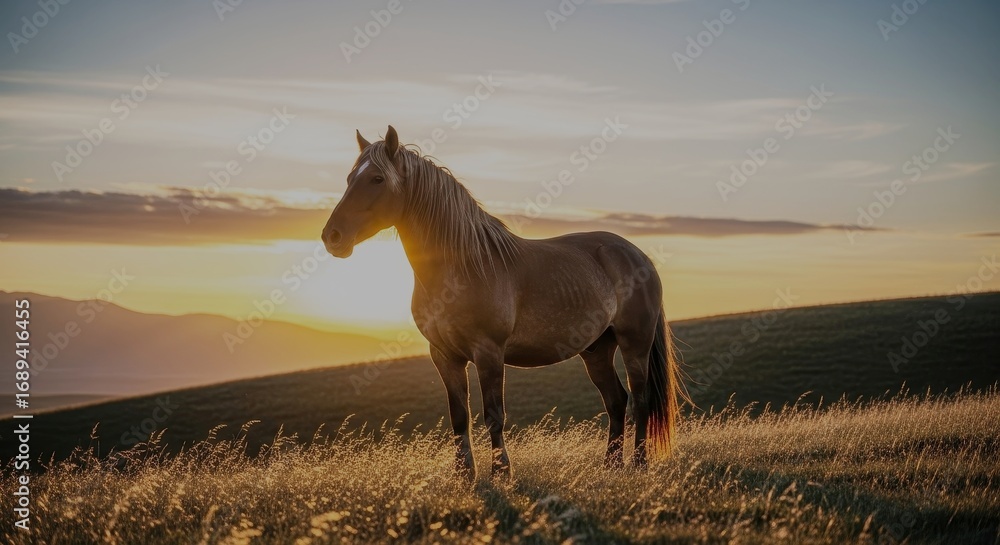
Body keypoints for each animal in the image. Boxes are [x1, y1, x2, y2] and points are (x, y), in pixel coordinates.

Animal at [322, 125, 684, 480]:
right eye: (350, 178)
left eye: (377, 179)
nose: (332, 237)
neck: (463, 266)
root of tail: (637, 254)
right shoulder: (444, 356)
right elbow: (459, 417)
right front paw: (464, 475)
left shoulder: (489, 353)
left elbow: (494, 415)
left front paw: (500, 473)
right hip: (596, 349)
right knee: (616, 401)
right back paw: (611, 466)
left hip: (634, 343)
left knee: (640, 400)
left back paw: (639, 464)